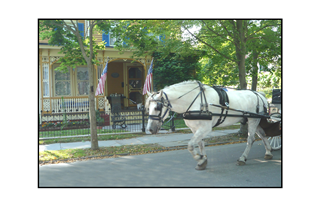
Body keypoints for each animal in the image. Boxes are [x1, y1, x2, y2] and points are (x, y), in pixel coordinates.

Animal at [146, 80, 274, 170]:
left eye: (158, 107)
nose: (150, 129)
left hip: (253, 120)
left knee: (250, 139)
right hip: (252, 119)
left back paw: (243, 158)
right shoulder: (195, 129)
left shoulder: (205, 128)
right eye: (148, 108)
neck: (195, 101)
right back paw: (268, 152)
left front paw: (199, 158)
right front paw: (202, 161)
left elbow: (190, 145)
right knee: (262, 134)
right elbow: (200, 144)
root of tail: (259, 94)